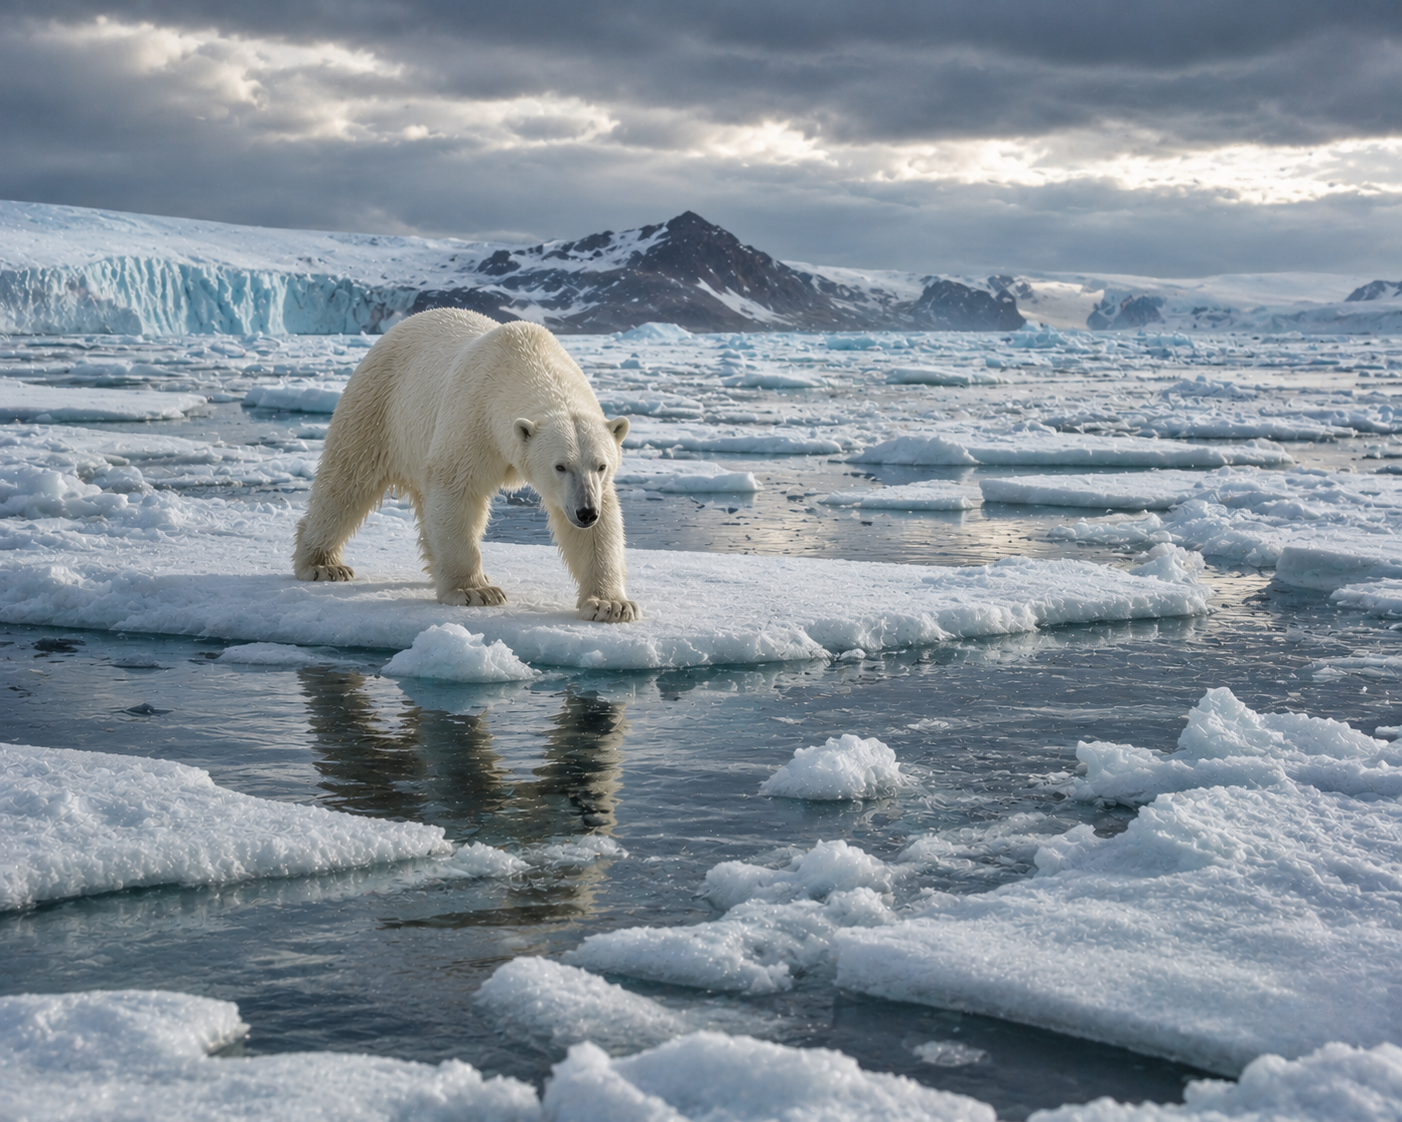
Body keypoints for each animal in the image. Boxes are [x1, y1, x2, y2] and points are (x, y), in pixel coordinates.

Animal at [292, 308, 640, 622]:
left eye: (601, 466)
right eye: (560, 466)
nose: (586, 512)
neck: (529, 360)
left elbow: (599, 530)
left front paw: (611, 605)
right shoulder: (474, 417)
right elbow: (455, 490)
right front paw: (474, 591)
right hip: (379, 406)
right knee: (347, 480)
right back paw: (323, 565)